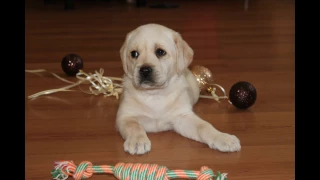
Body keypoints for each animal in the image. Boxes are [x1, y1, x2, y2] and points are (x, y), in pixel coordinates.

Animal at [115, 23, 240, 155]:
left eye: (160, 52)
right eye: (134, 54)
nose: (144, 70)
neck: (155, 94)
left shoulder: (182, 116)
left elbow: (204, 126)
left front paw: (223, 138)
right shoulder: (125, 116)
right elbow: (134, 126)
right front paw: (137, 141)